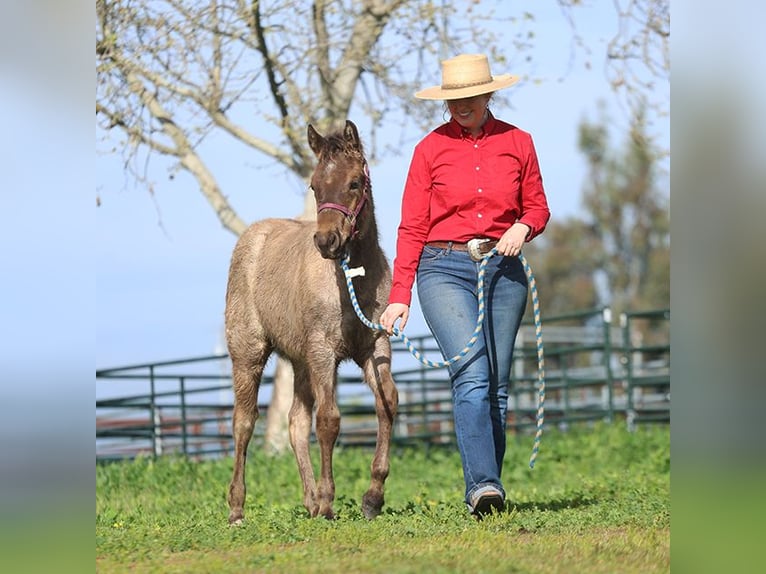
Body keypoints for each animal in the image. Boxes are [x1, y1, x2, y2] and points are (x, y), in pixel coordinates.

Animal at [225, 120, 399, 523]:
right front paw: (329, 499)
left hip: (300, 361)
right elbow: (329, 420)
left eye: (355, 182)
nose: (326, 241)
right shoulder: (323, 351)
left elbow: (387, 404)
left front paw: (372, 497)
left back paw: (309, 502)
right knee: (244, 422)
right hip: (249, 352)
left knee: (295, 423)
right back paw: (238, 508)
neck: (352, 279)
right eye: (315, 186)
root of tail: (253, 236)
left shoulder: (375, 347)